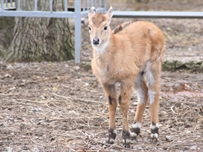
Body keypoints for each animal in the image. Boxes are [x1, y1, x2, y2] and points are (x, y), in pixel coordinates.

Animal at [88, 6, 164, 146]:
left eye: (105, 26)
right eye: (89, 26)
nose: (95, 40)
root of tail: (155, 28)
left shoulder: (126, 78)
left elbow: (123, 103)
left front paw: (125, 137)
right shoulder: (106, 81)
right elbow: (112, 103)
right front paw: (111, 136)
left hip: (154, 64)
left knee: (154, 92)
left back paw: (154, 132)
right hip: (138, 72)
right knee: (144, 92)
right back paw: (135, 130)